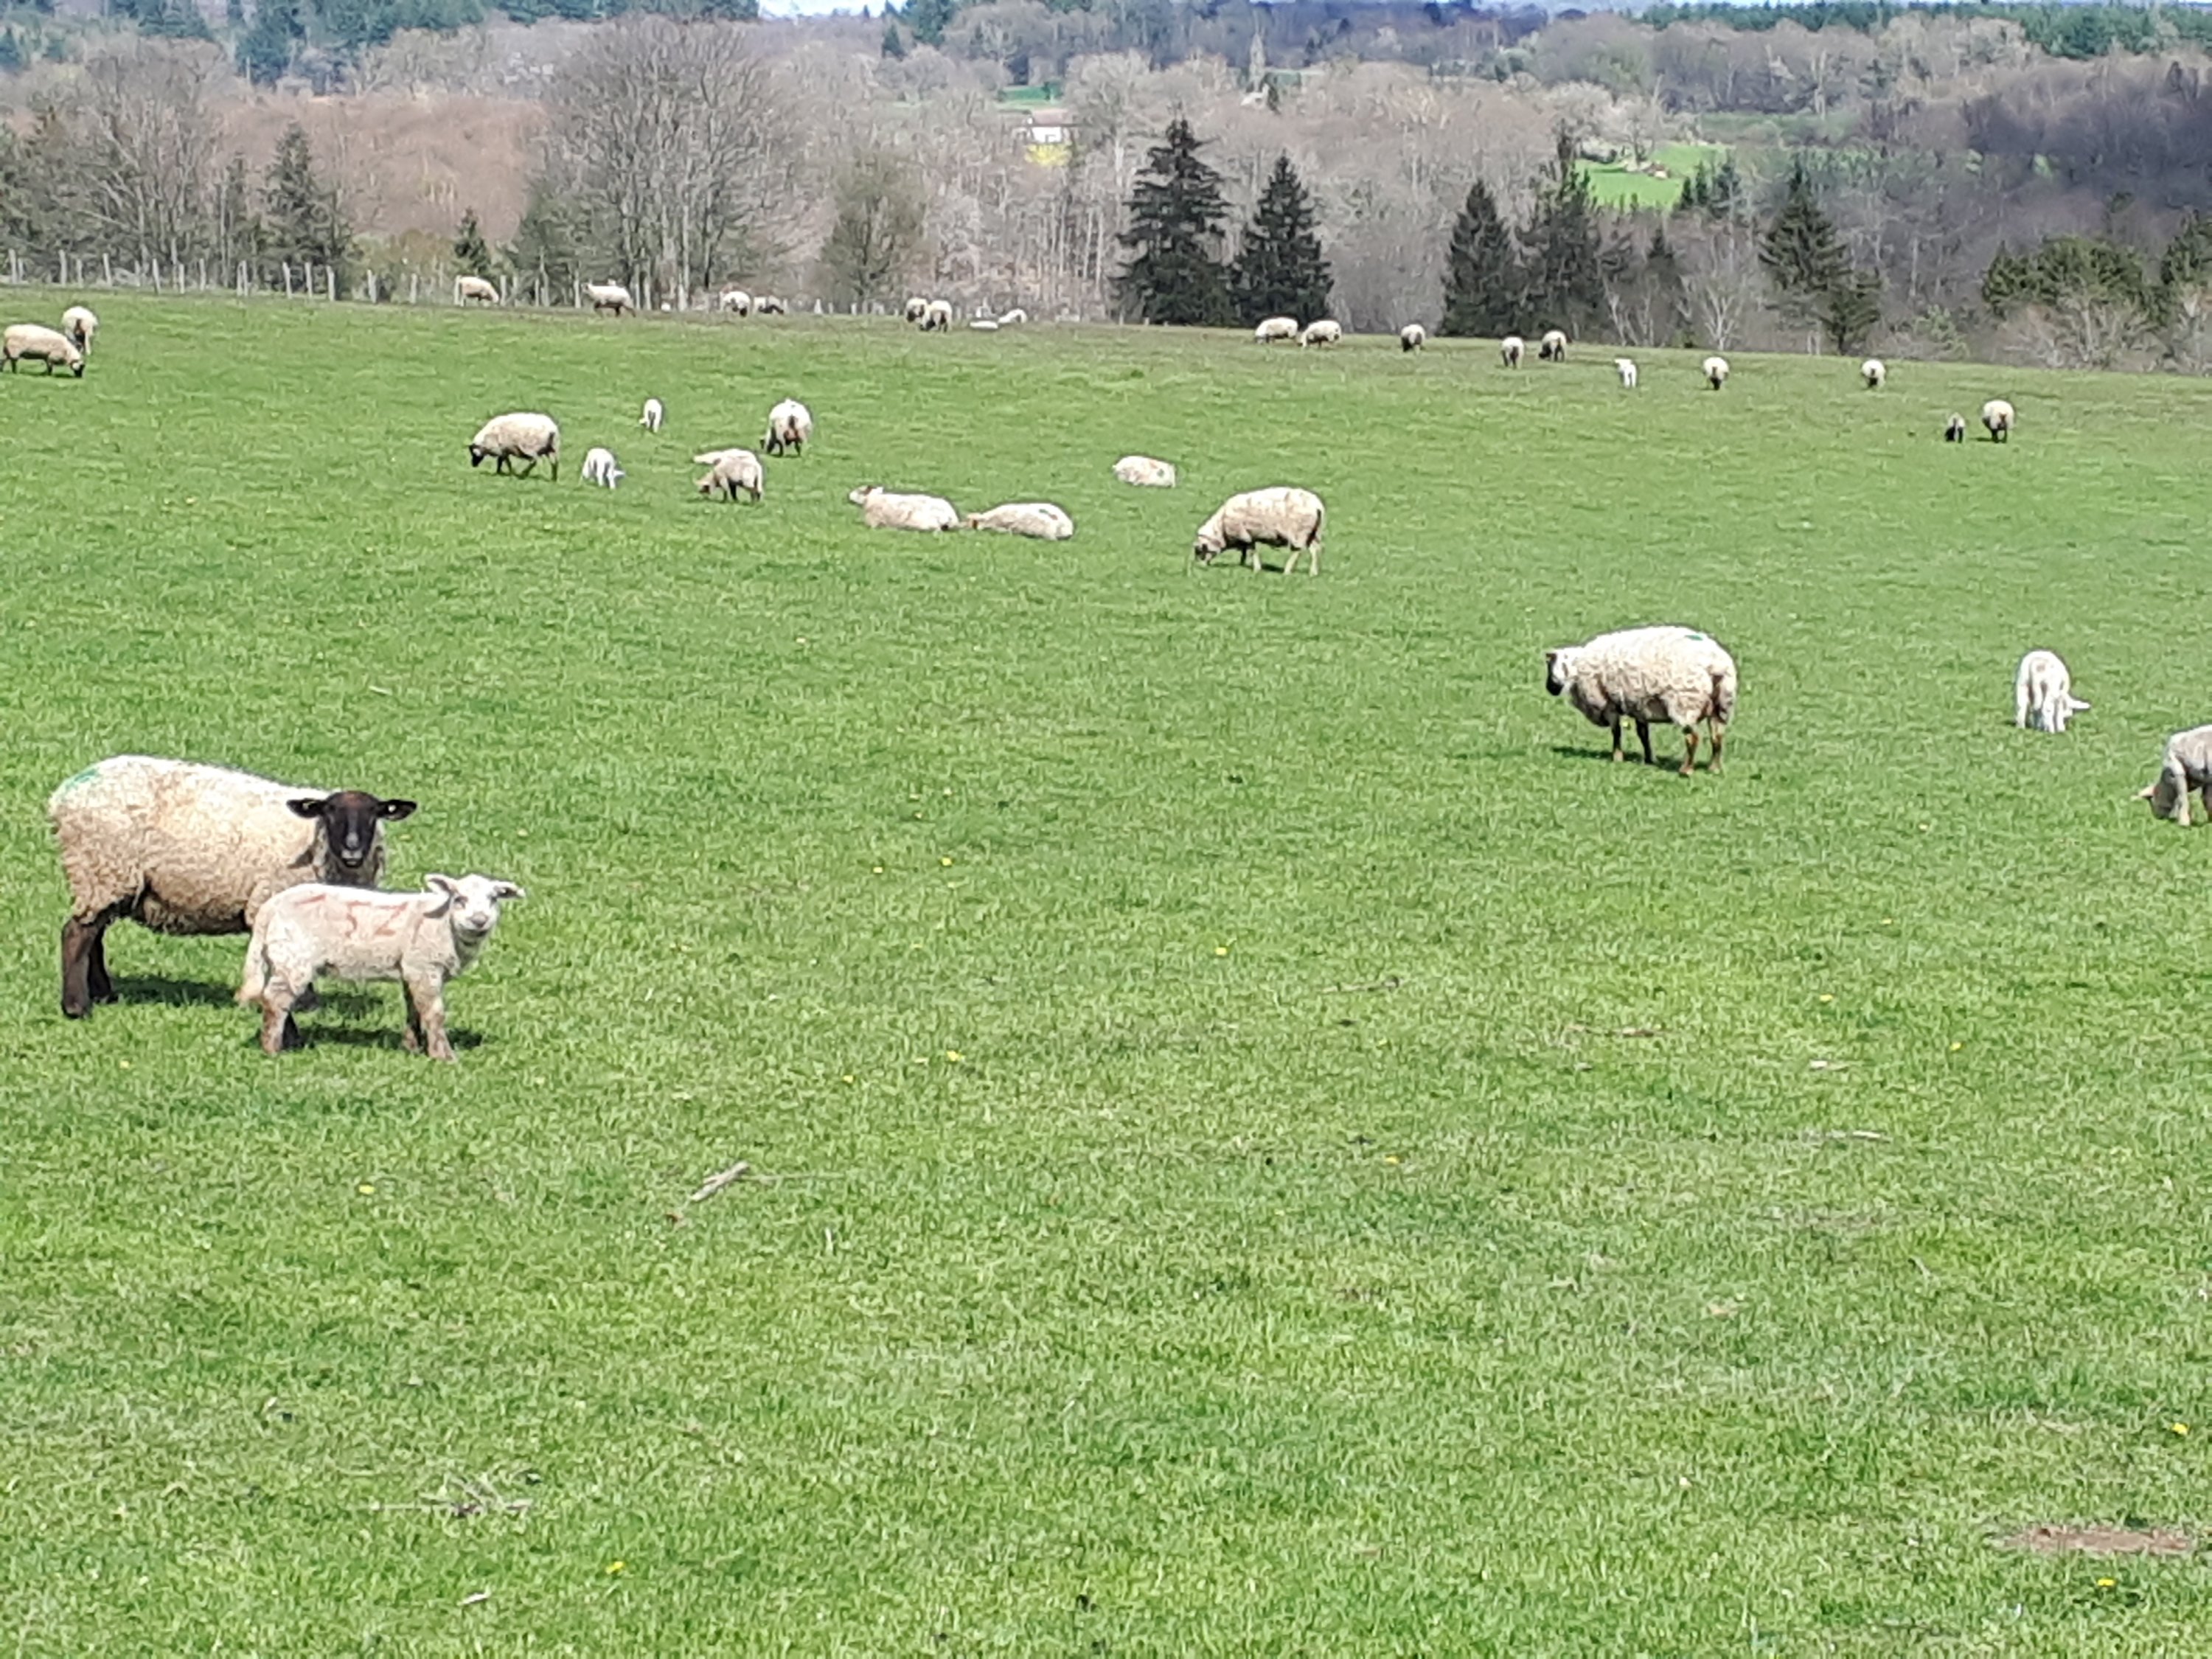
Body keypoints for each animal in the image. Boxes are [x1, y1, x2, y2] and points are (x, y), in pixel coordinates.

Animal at [47, 755, 417, 1019]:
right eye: (330, 813)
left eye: (374, 814)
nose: (353, 851)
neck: (317, 843)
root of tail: (62, 795)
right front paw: (303, 1004)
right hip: (102, 867)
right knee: (77, 934)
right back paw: (78, 1008)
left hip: (107, 878)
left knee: (93, 933)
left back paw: (104, 995)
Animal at [239, 874, 521, 1060]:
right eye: (459, 899)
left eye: (493, 899)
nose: (479, 920)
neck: (444, 924)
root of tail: (269, 908)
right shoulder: (424, 966)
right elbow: (434, 1012)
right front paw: (443, 1055)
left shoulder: (410, 968)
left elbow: (413, 1009)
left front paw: (412, 1046)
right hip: (294, 954)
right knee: (275, 999)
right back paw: (273, 1049)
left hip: (281, 957)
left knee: (275, 999)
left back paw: (288, 1041)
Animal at [1192, 486, 1326, 576]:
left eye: (1199, 550)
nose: (1200, 566)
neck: (1221, 527)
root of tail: (1317, 506)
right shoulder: (1246, 535)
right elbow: (1245, 551)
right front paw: (1242, 564)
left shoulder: (1245, 535)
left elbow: (1251, 551)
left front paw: (1256, 568)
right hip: (1314, 533)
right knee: (1314, 551)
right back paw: (1313, 572)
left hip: (1299, 532)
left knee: (1296, 551)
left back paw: (1287, 571)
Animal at [1545, 626, 1736, 775]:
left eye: (1549, 665)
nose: (1549, 689)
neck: (1577, 669)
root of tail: (1716, 663)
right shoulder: (1639, 706)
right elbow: (1643, 734)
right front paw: (1649, 759)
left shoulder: (1608, 704)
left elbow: (1616, 732)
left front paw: (1617, 757)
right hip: (1721, 704)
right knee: (1717, 737)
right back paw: (1714, 768)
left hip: (1685, 701)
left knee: (1693, 737)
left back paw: (1686, 770)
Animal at [2140, 726, 2212, 825]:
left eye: (2153, 800)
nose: (2159, 817)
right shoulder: (2207, 779)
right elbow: (2207, 799)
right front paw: (2210, 821)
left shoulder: (2176, 771)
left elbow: (2182, 798)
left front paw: (2184, 823)